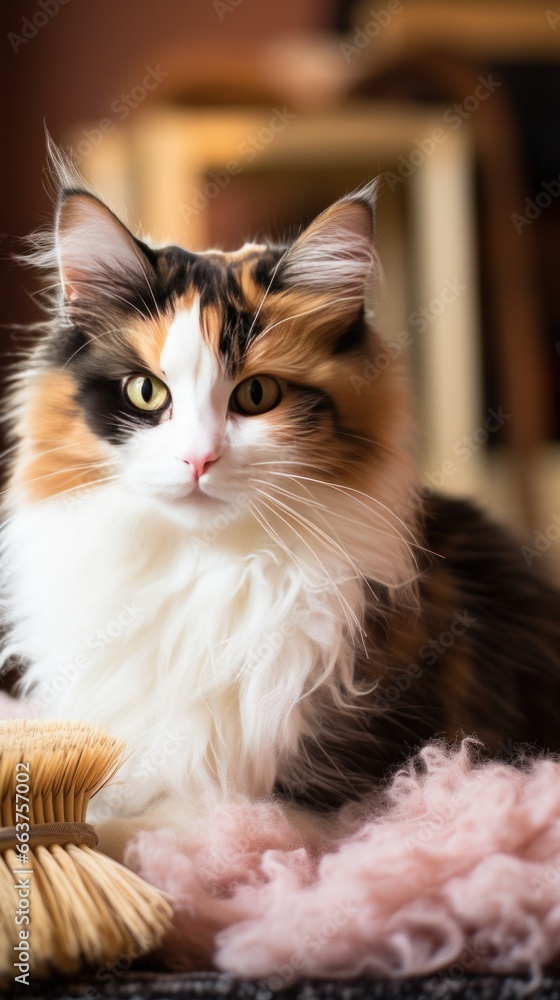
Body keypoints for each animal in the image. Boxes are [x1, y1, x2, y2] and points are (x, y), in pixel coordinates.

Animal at [1, 162, 560, 844]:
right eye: (146, 391)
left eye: (257, 394)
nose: (198, 460)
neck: (206, 568)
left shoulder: (329, 792)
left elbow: (174, 820)